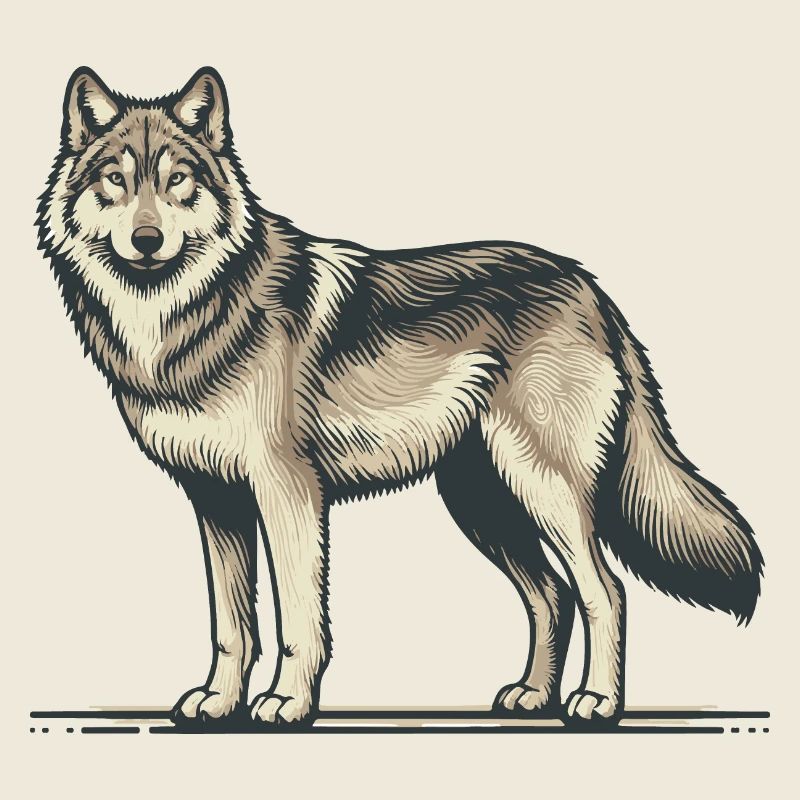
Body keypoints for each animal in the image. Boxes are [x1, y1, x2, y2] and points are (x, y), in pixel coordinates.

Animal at [37, 67, 762, 728]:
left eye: (177, 179)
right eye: (116, 180)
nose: (147, 240)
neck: (184, 315)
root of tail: (589, 285)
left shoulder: (287, 493)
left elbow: (298, 619)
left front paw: (288, 704)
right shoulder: (215, 500)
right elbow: (232, 625)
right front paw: (218, 703)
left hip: (542, 488)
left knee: (604, 592)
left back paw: (598, 703)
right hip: (483, 503)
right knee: (552, 595)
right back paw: (532, 697)